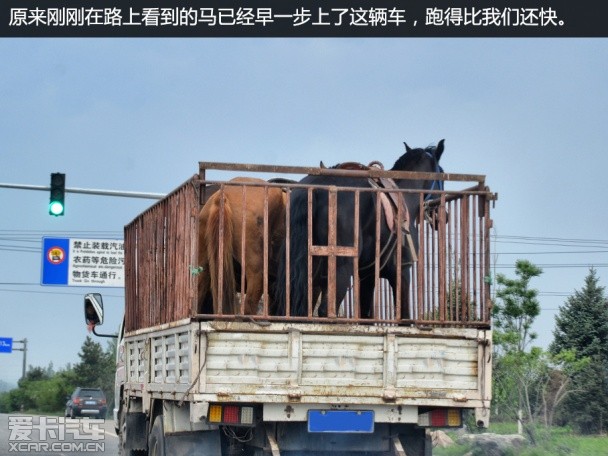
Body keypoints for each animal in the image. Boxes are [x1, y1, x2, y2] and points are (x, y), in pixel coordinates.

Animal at [274, 141, 444, 318]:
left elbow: (365, 314)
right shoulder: (402, 272)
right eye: (442, 174)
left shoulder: (366, 277)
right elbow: (404, 317)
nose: (441, 216)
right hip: (341, 270)